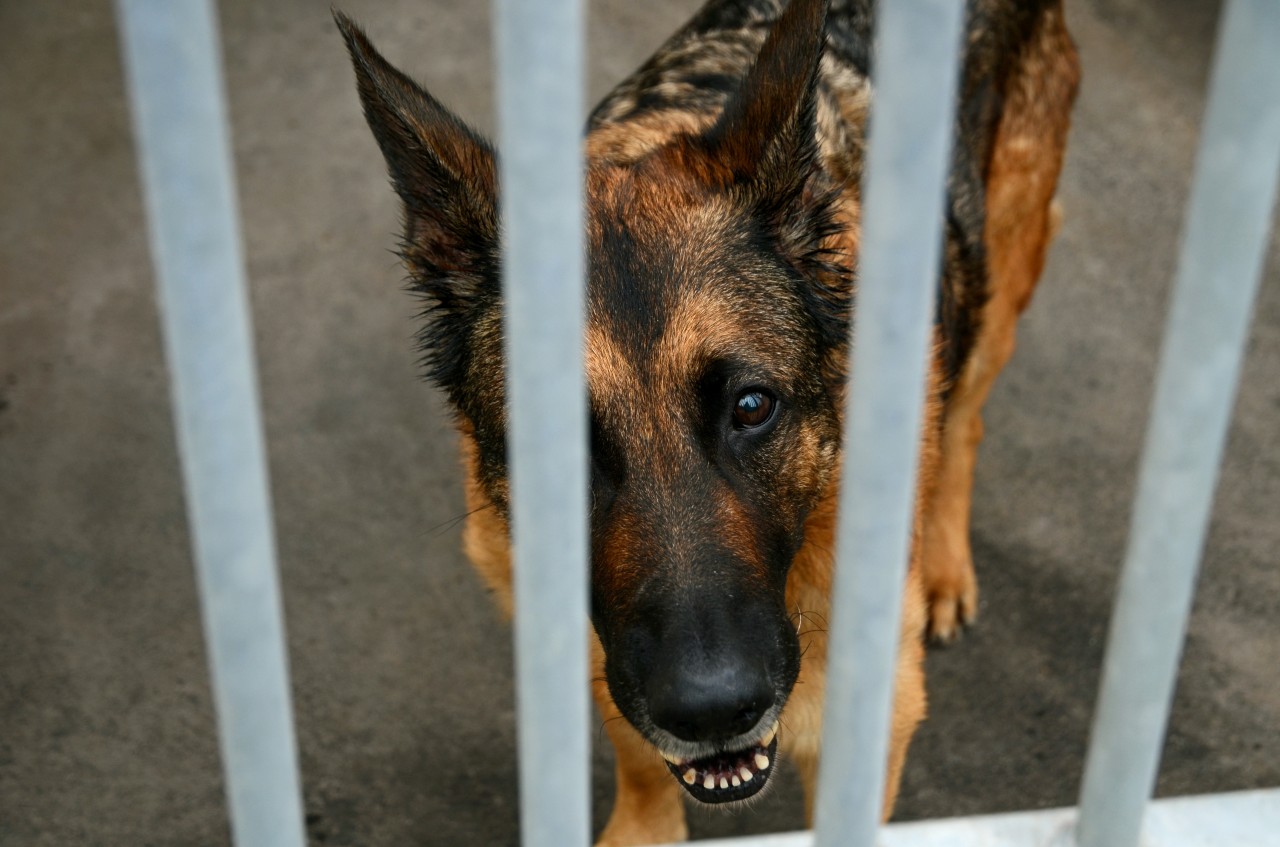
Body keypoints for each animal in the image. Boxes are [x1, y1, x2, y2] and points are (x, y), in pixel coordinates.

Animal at [337, 1, 1080, 844]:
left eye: (752, 407)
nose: (712, 710)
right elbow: (637, 759)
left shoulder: (873, 723)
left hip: (1000, 286)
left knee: (967, 419)